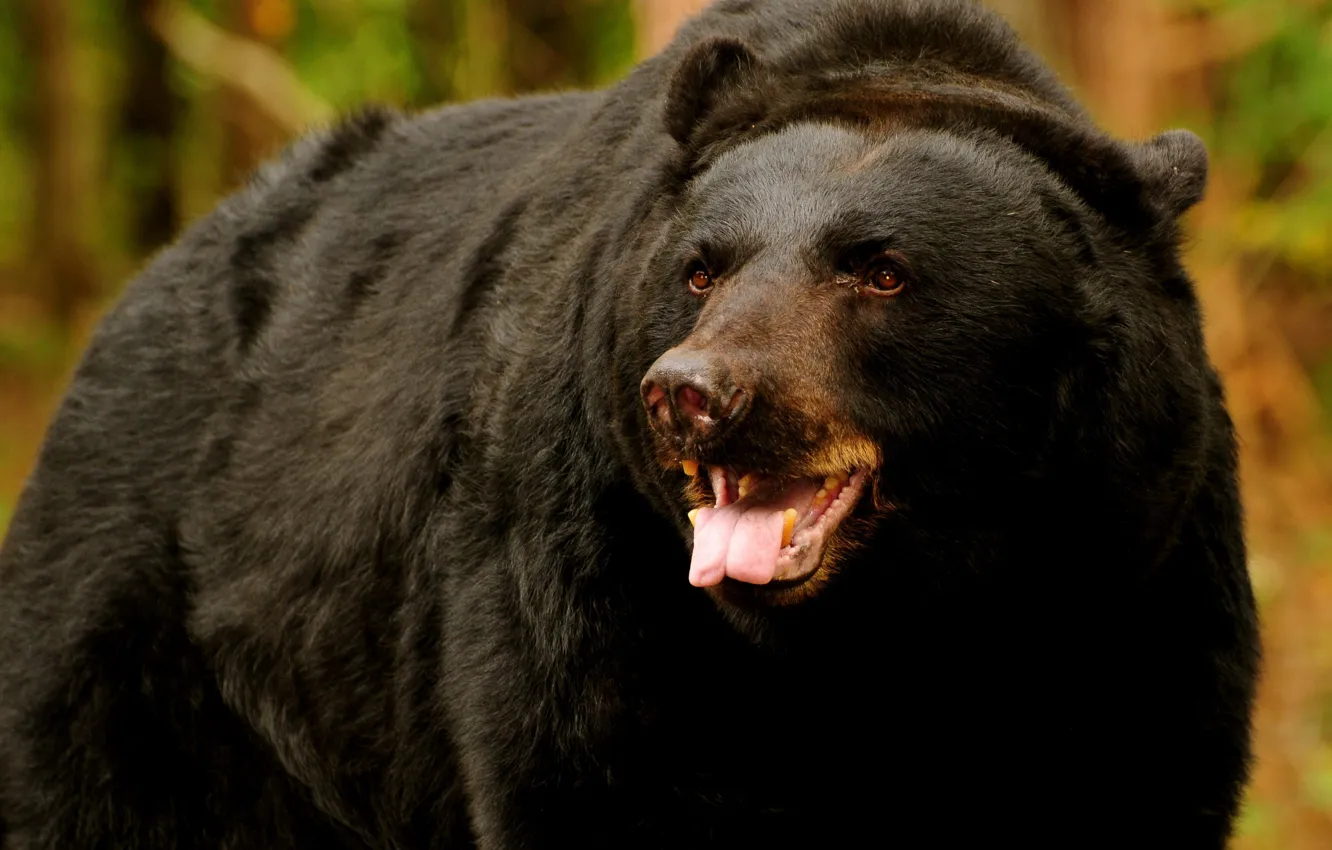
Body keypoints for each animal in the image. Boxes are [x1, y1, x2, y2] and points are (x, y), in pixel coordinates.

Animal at [0, 0, 1260, 847]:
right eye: (702, 266)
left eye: (881, 269)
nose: (692, 392)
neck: (884, 635)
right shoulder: (597, 581)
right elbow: (598, 776)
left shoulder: (1127, 578)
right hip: (149, 637)